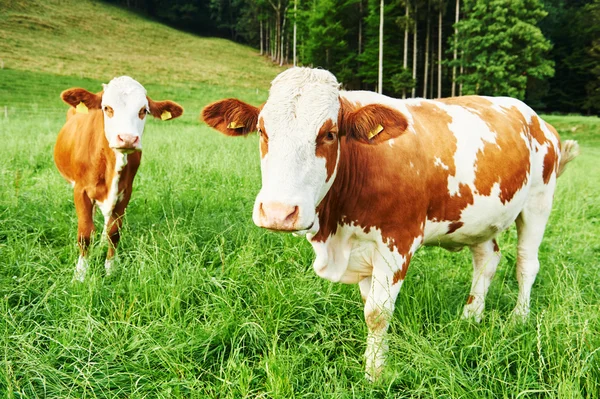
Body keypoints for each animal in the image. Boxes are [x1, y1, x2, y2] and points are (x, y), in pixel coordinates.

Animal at [56, 76, 183, 282]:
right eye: (107, 107)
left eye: (143, 110)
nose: (128, 138)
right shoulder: (81, 190)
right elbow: (85, 233)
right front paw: (80, 275)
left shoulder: (125, 192)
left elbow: (113, 232)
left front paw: (110, 270)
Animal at [203, 68, 580, 382]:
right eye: (262, 130)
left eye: (329, 134)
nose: (279, 212)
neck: (335, 232)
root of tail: (536, 117)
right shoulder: (362, 249)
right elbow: (368, 305)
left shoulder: (397, 242)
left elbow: (377, 313)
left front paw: (375, 373)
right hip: (479, 218)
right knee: (487, 259)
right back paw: (470, 317)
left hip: (538, 202)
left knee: (526, 264)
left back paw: (519, 318)